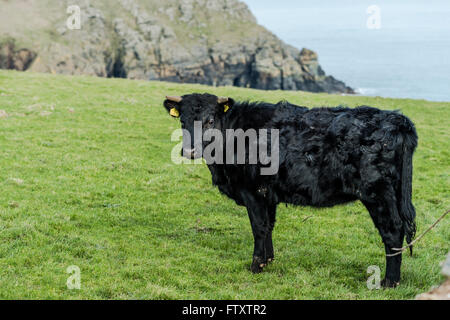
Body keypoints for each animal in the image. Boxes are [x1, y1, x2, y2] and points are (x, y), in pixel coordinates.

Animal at [163, 92, 418, 288]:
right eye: (183, 121)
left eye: (209, 121)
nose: (190, 151)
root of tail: (397, 120)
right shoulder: (268, 193)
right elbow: (268, 226)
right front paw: (268, 261)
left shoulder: (252, 191)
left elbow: (258, 227)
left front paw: (256, 265)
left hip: (377, 194)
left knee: (392, 231)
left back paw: (389, 282)